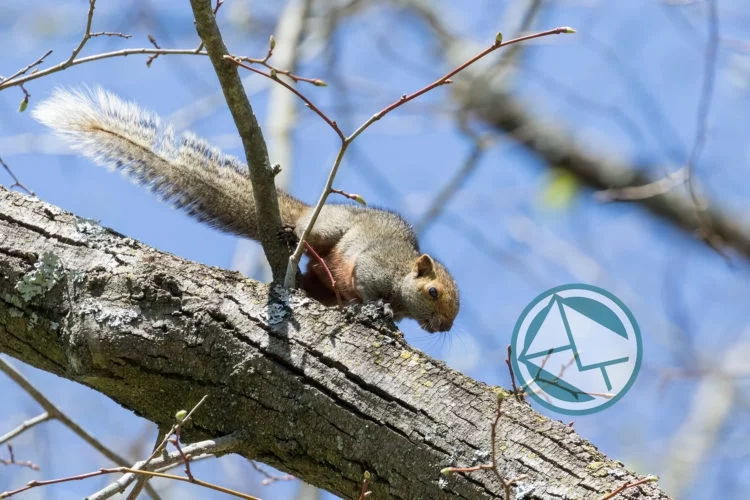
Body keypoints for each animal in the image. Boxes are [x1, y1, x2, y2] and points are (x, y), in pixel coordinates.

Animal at [32, 88, 459, 332]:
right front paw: (377, 309)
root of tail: (307, 211)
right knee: (311, 241)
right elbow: (369, 286)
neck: (402, 279)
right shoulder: (376, 265)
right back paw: (291, 237)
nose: (443, 327)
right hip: (327, 229)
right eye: (433, 291)